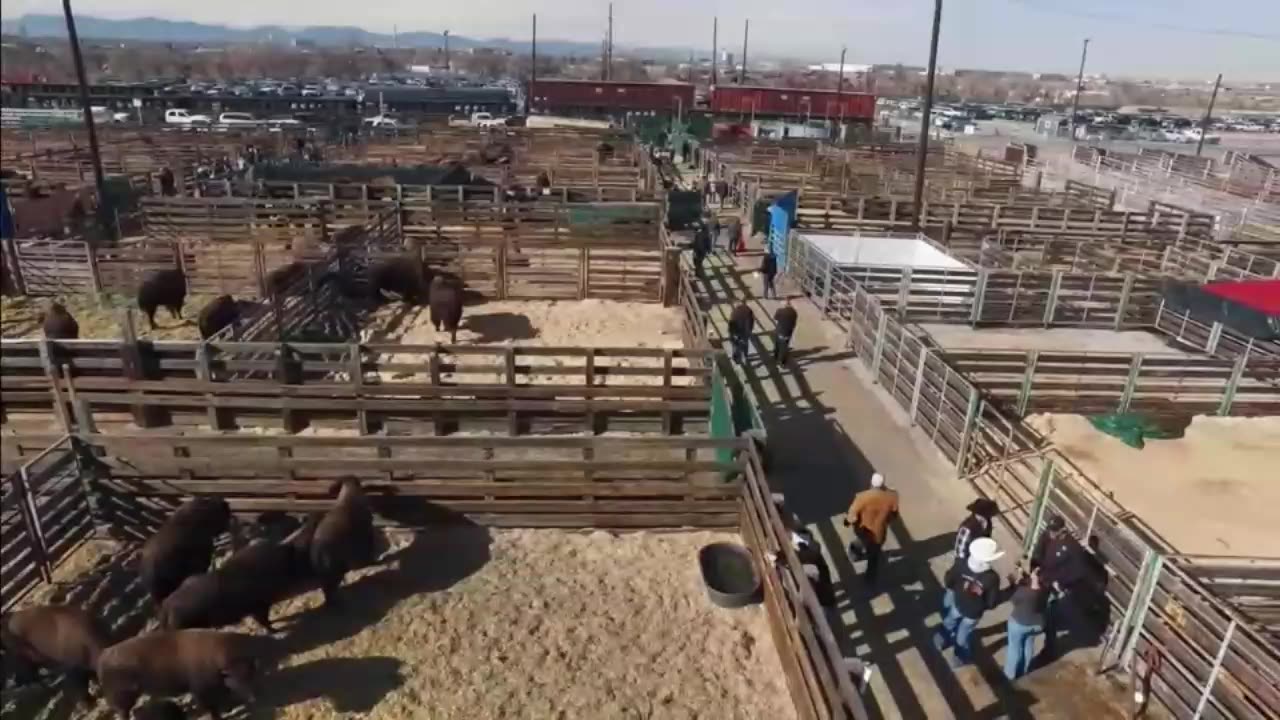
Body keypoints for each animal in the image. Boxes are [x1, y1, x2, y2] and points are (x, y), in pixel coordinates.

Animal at [312, 476, 376, 604]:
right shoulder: (367, 532)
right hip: (336, 569)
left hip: (325, 572)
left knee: (326, 587)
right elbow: (369, 549)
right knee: (330, 588)